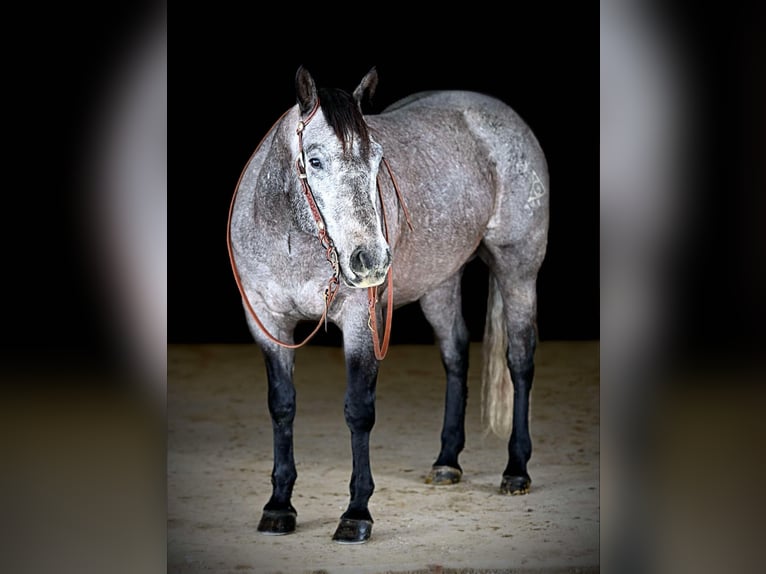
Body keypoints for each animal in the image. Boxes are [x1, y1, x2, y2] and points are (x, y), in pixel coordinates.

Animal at [228, 66, 552, 544]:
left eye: (378, 160)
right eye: (315, 161)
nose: (371, 261)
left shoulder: (361, 323)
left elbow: (359, 411)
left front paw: (356, 513)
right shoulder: (268, 323)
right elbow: (282, 406)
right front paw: (279, 506)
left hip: (518, 269)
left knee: (520, 361)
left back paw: (516, 469)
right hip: (440, 283)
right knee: (456, 354)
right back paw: (447, 462)